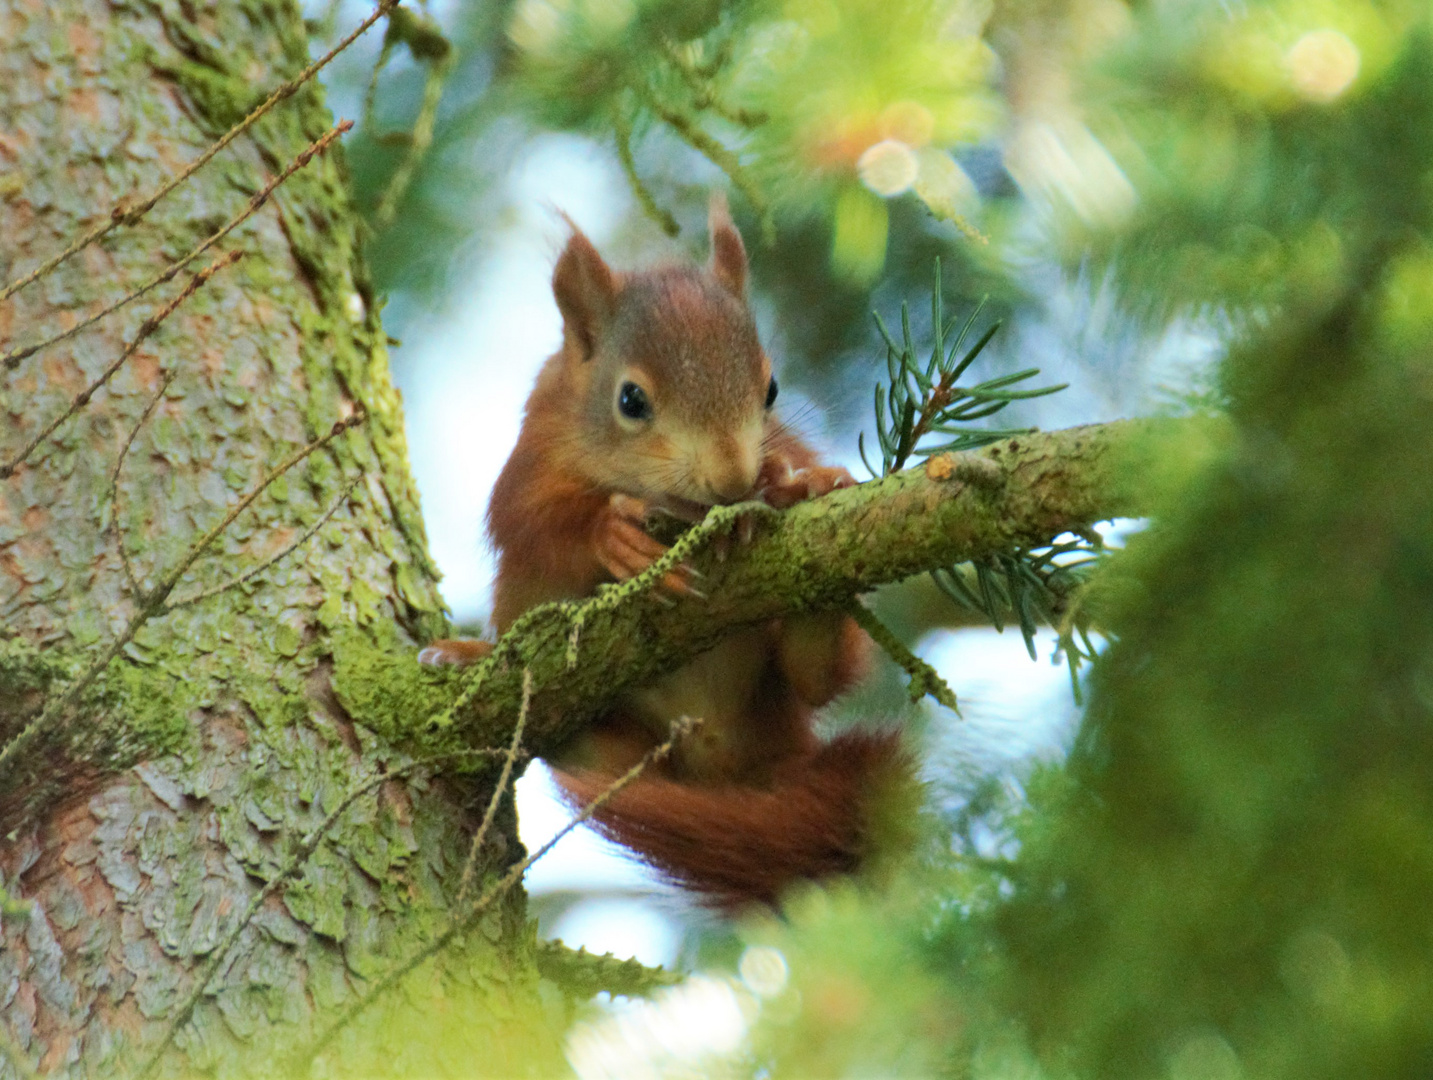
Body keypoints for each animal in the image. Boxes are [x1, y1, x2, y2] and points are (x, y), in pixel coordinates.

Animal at [418, 201, 905, 910]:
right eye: (630, 400)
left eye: (772, 389)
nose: (733, 478)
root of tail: (733, 758)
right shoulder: (531, 460)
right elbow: (537, 523)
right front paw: (611, 532)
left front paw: (791, 482)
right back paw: (471, 658)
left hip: (778, 690)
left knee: (817, 678)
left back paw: (818, 605)